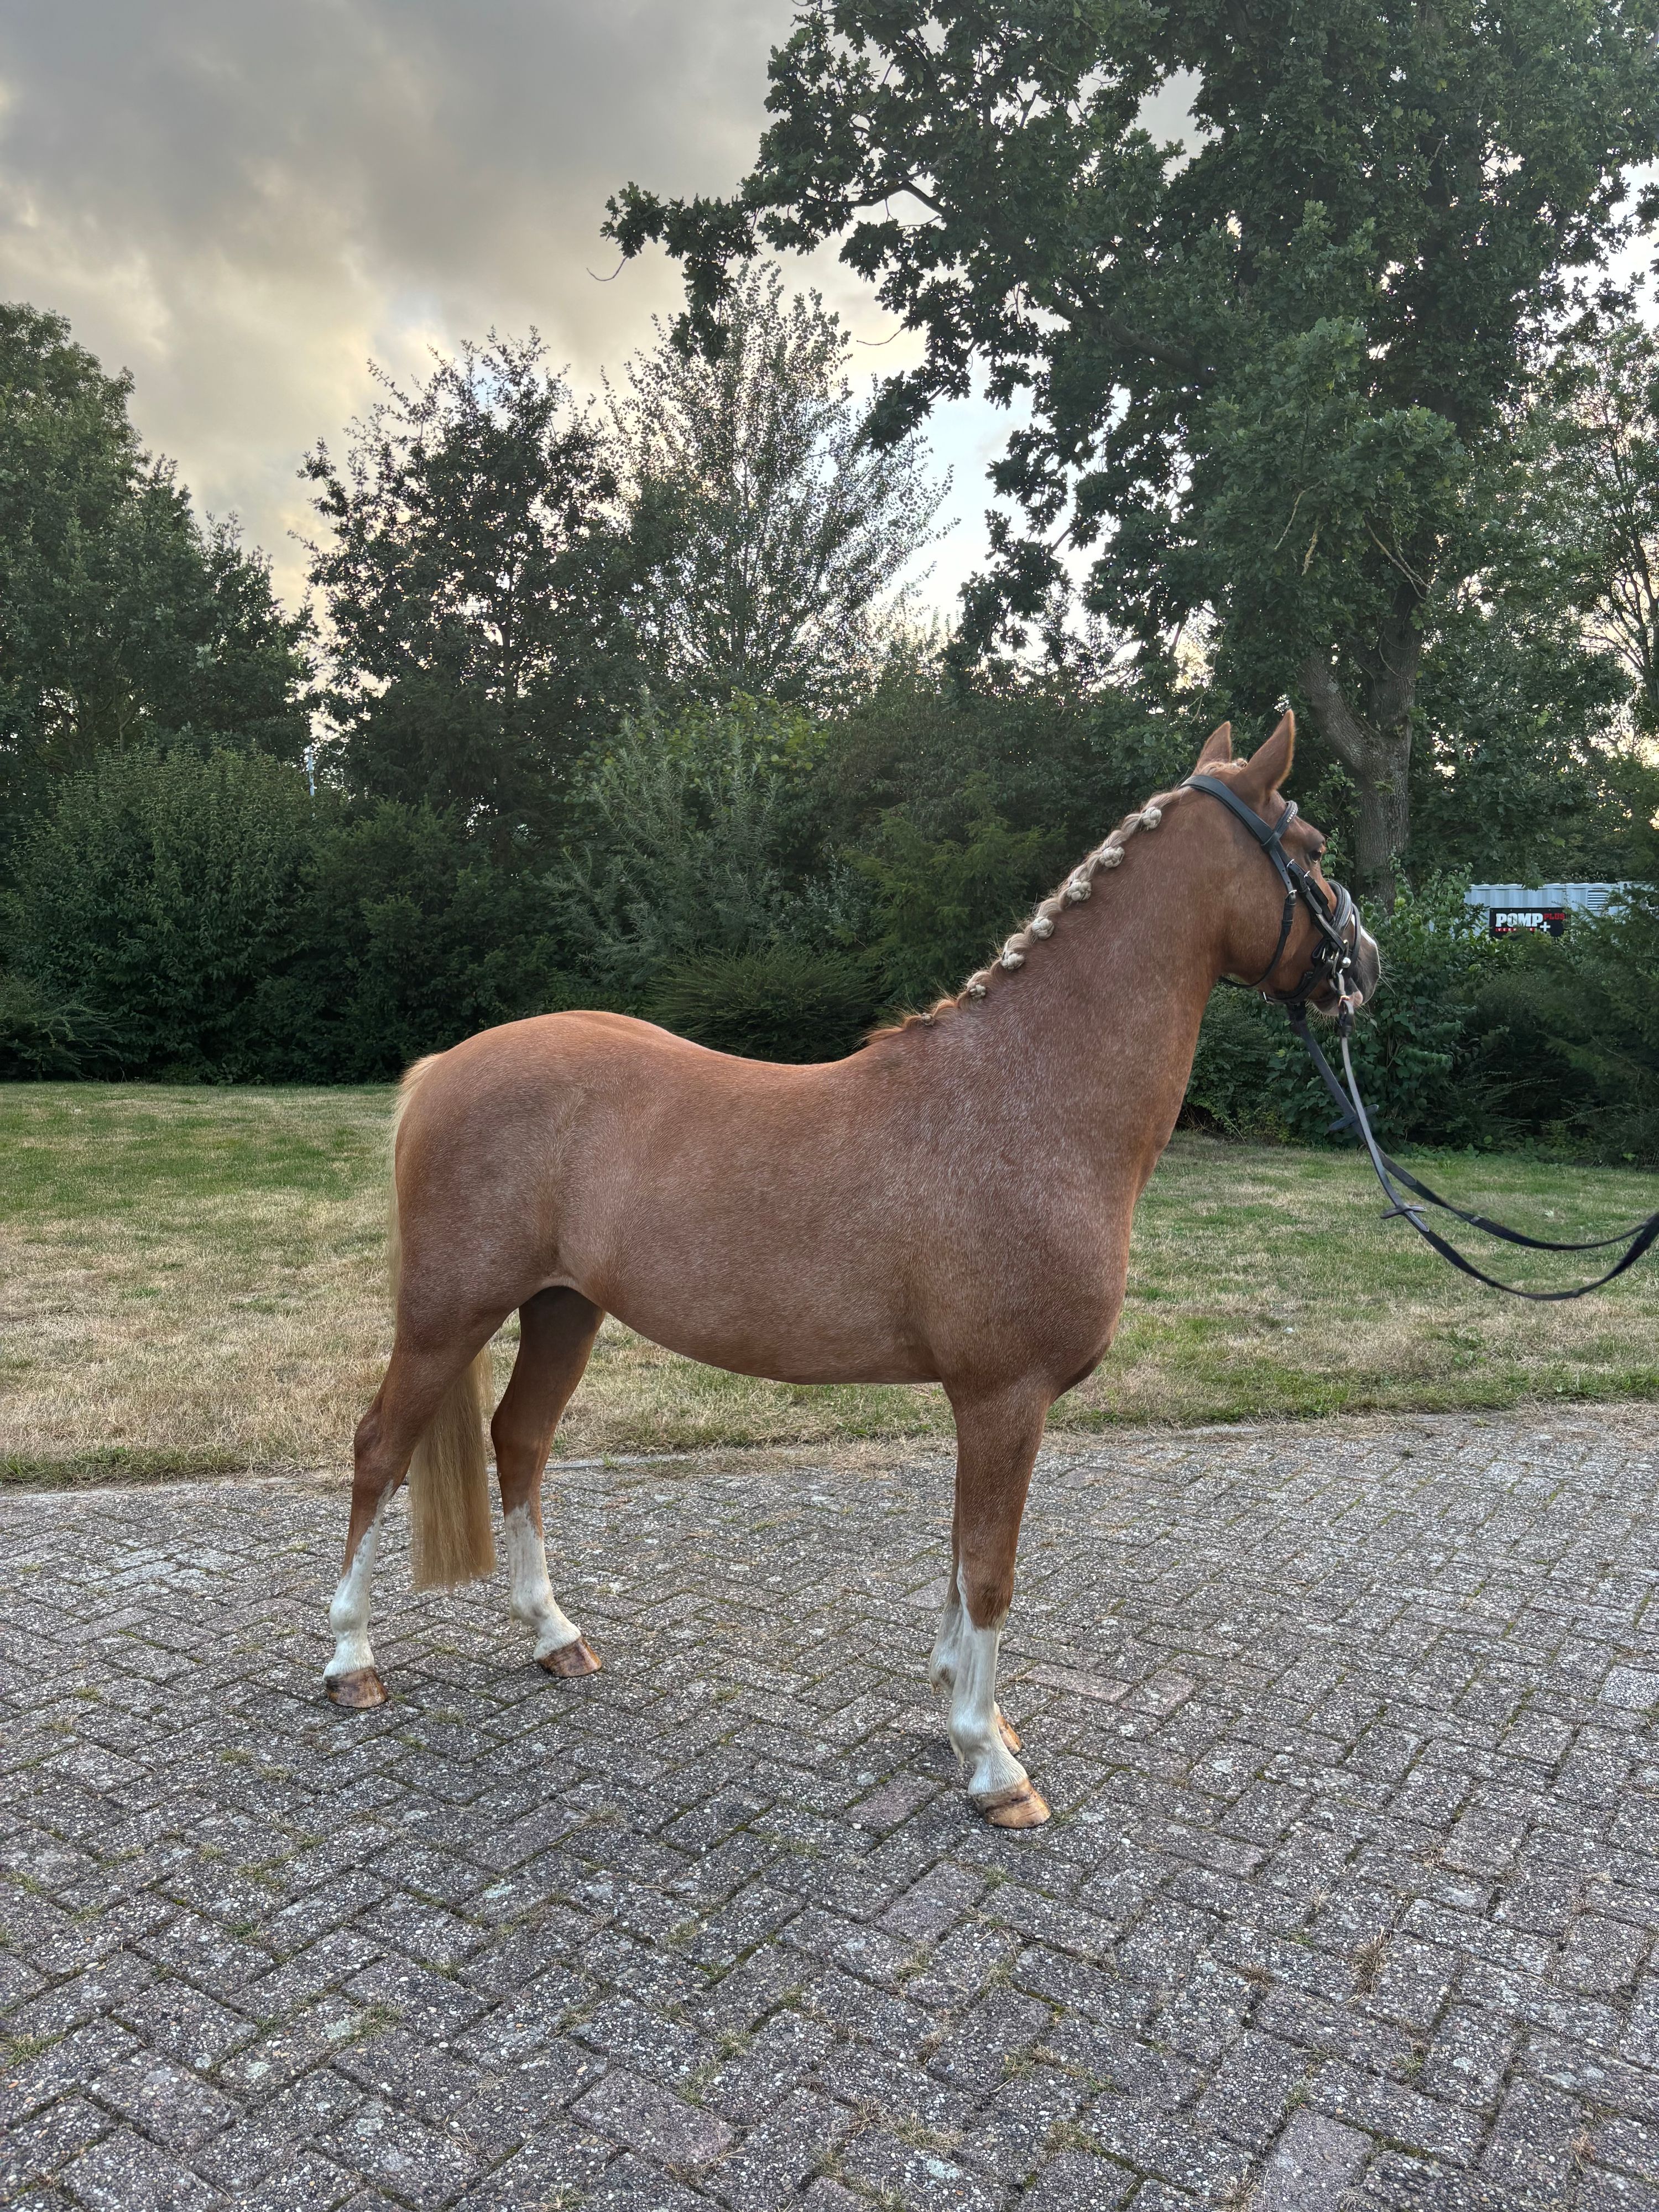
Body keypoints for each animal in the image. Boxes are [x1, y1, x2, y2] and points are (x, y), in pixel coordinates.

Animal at [323, 712, 1380, 1828]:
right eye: (1311, 848)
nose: (1367, 963)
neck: (1027, 1096)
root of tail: (445, 1067)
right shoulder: (1006, 1396)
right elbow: (990, 1572)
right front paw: (992, 1768)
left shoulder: (987, 1404)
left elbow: (960, 1563)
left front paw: (969, 1716)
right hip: (449, 1314)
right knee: (380, 1449)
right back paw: (351, 1660)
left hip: (563, 1310)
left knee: (518, 1443)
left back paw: (556, 1637)